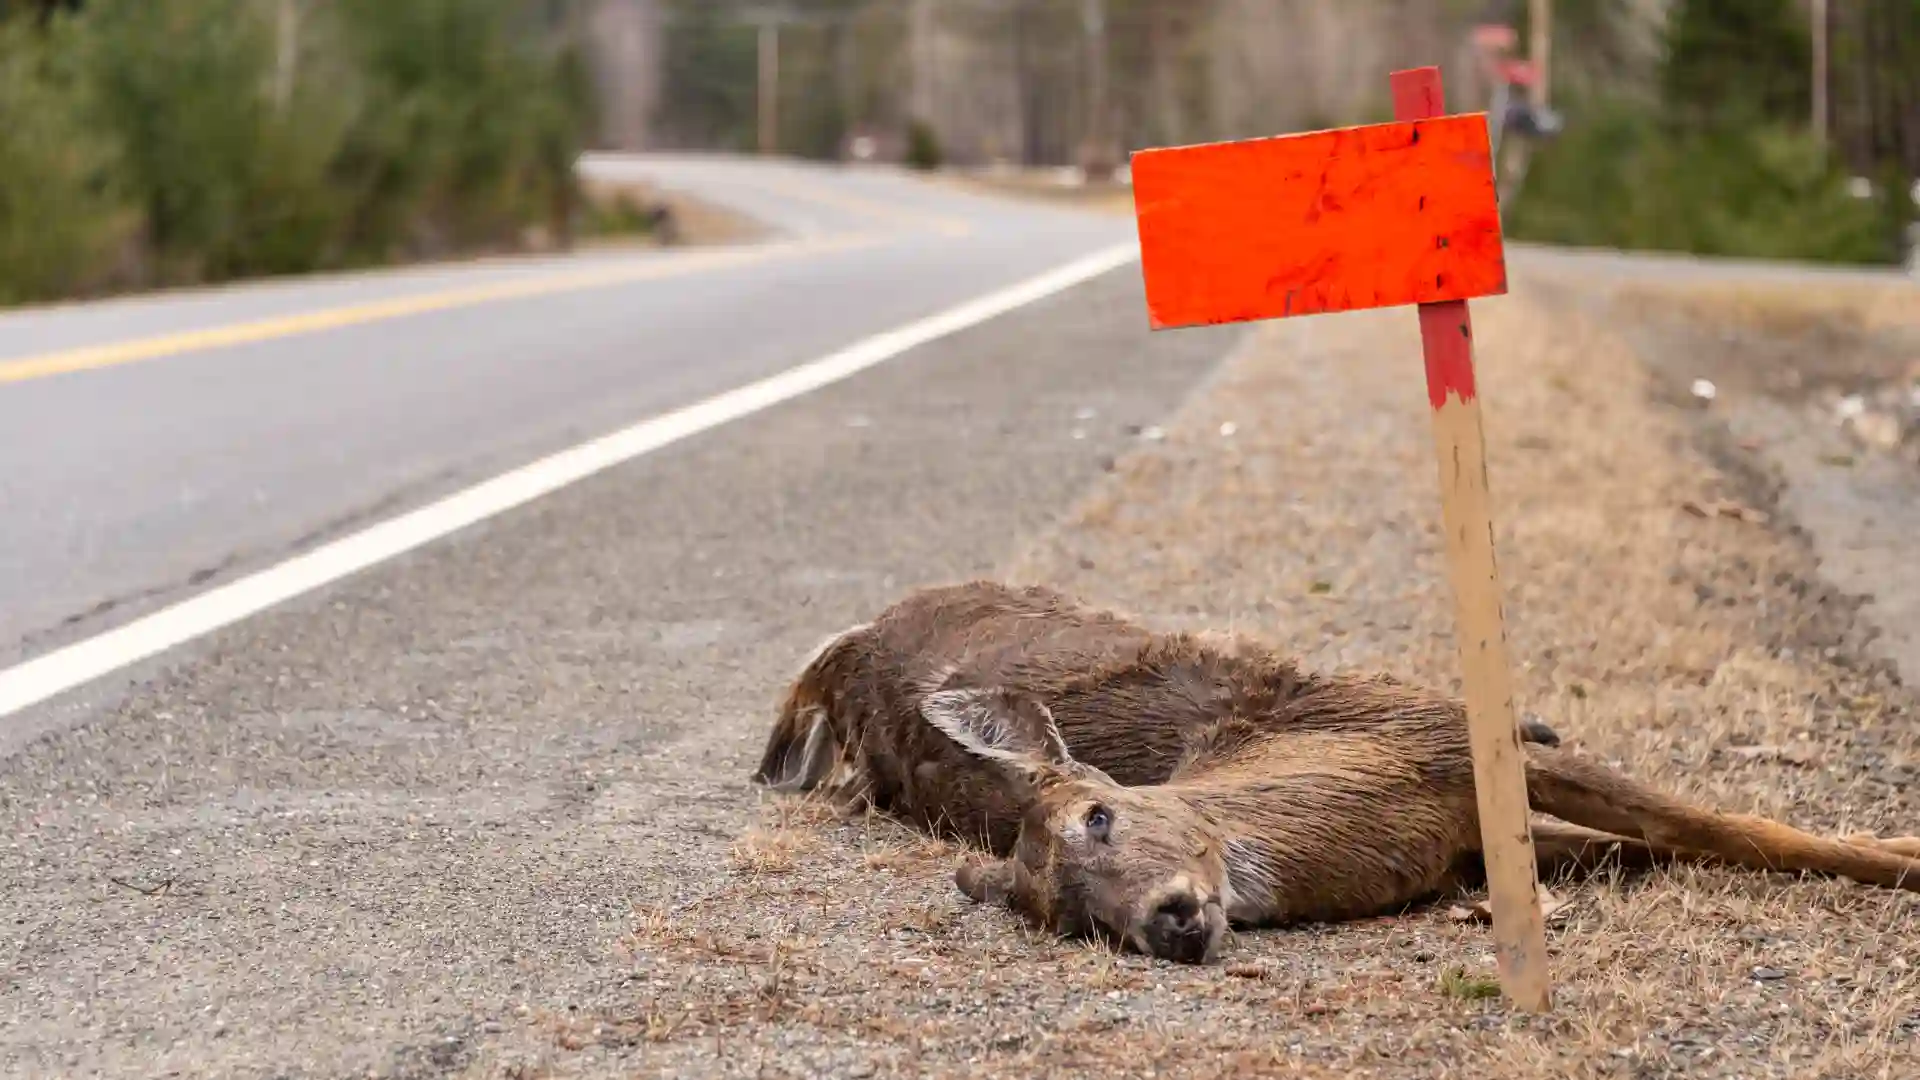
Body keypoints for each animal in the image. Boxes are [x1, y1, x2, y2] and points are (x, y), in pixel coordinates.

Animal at [752, 580, 1920, 964]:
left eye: (1097, 818)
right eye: (1070, 919)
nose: (1169, 921)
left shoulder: (1445, 735)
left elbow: (1726, 827)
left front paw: (1903, 850)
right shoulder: (1468, 828)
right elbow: (1667, 841)